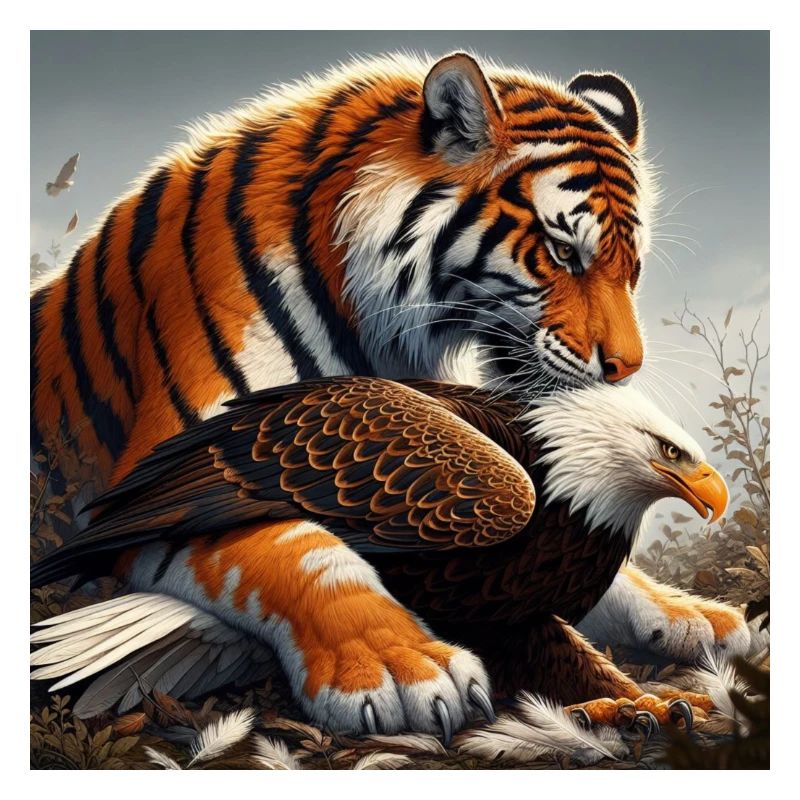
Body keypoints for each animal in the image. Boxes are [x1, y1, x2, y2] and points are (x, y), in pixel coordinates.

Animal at [30, 52, 749, 734]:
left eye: (634, 267)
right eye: (564, 251)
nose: (625, 368)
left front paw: (679, 625)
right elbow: (302, 552)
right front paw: (395, 663)